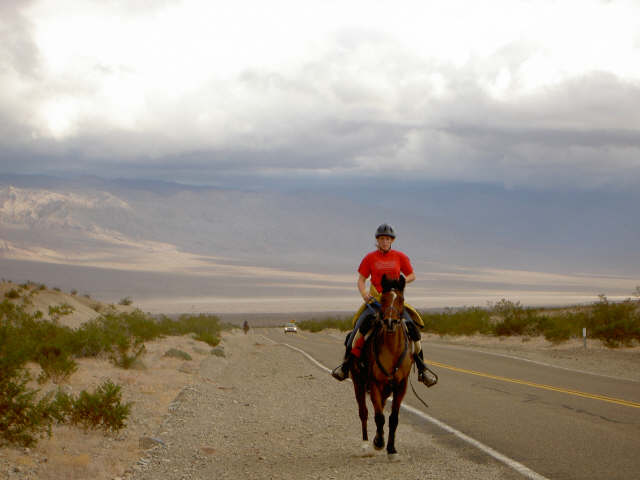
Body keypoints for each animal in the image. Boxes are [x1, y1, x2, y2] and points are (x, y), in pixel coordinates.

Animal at [348, 274, 412, 454]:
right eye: (383, 299)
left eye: (401, 299)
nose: (390, 322)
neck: (391, 349)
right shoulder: (374, 383)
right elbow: (378, 416)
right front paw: (379, 443)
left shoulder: (400, 385)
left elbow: (393, 418)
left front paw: (391, 448)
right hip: (358, 382)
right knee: (363, 411)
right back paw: (365, 443)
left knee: (380, 407)